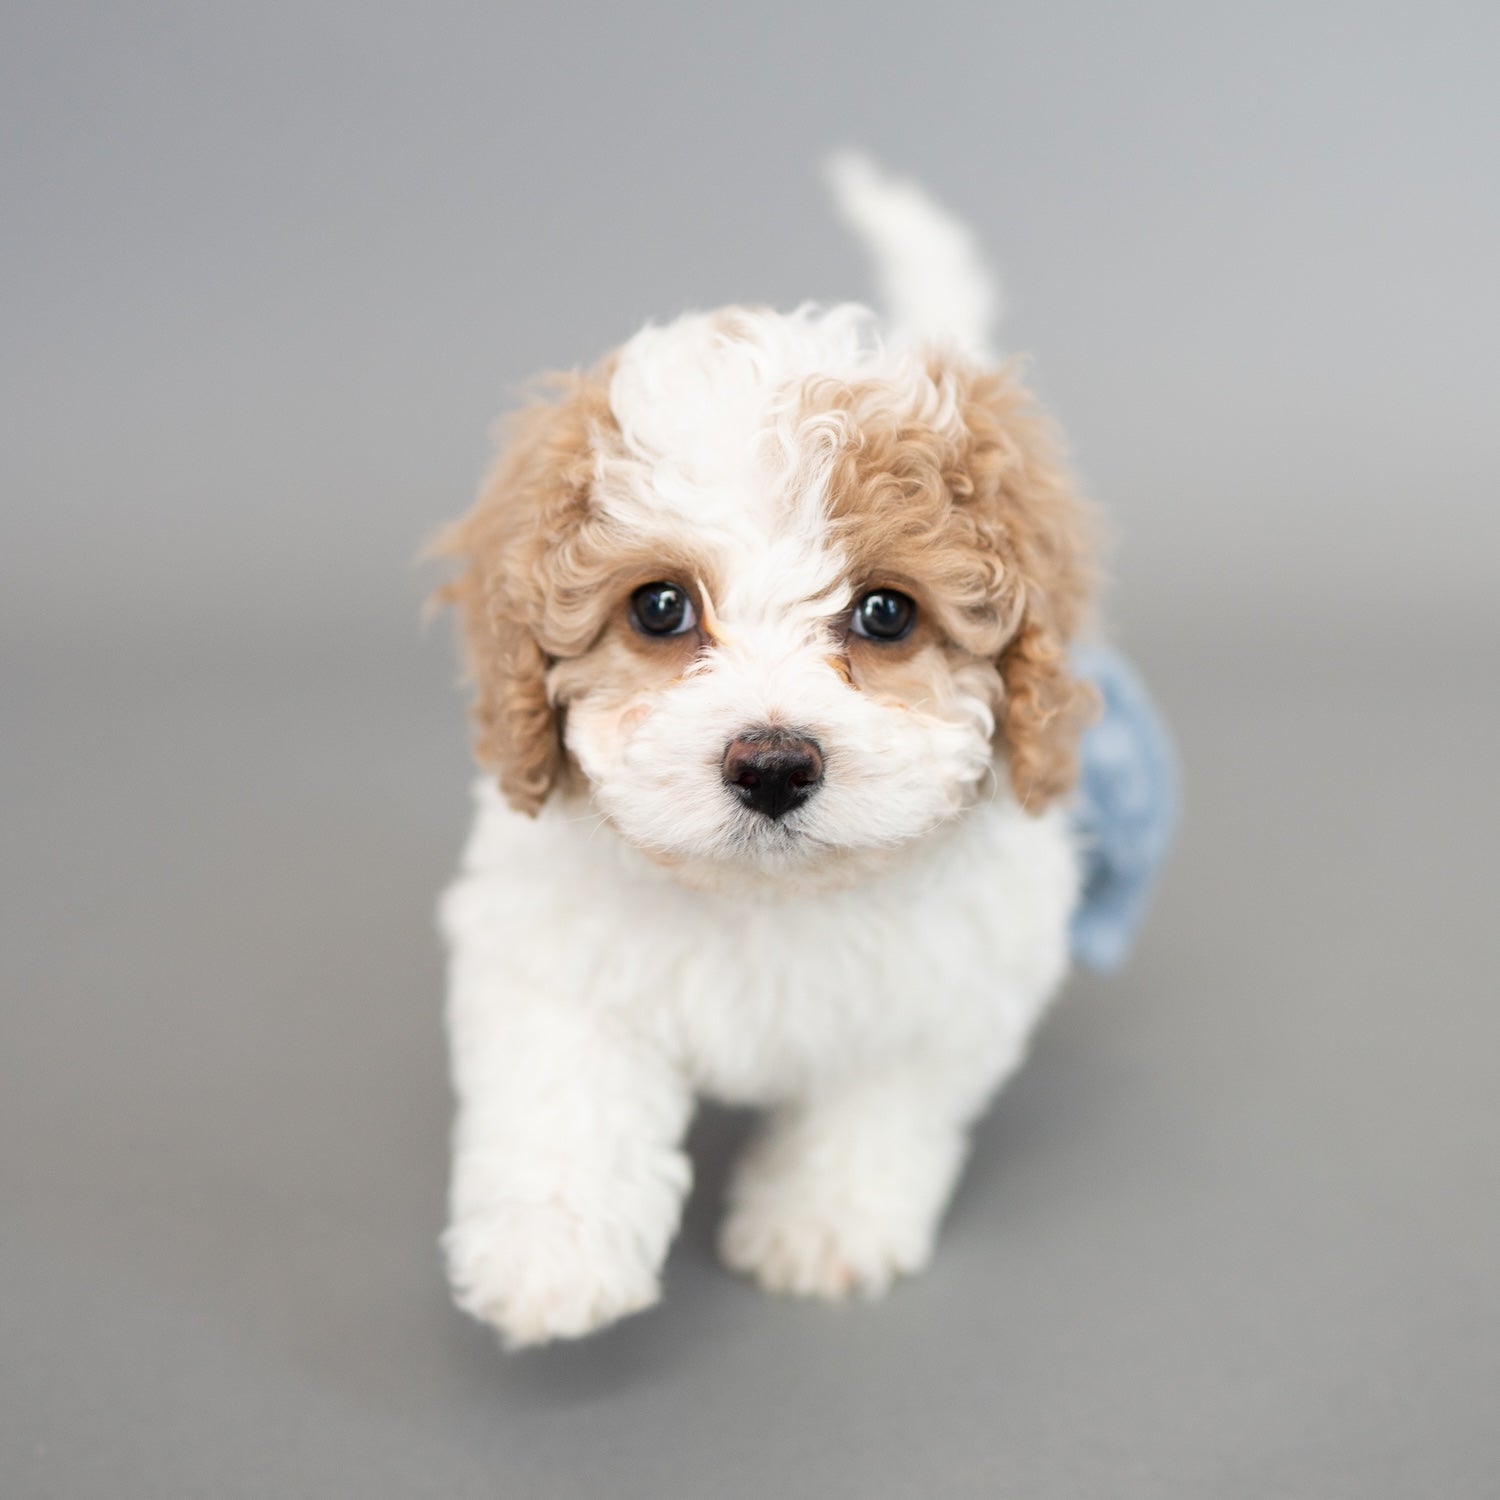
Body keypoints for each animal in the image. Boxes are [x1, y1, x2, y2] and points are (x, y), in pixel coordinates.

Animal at [435, 155, 1104, 1350]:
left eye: (886, 613)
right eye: (659, 607)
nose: (774, 765)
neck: (762, 900)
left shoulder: (952, 989)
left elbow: (876, 1106)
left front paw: (820, 1225)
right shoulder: (541, 947)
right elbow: (564, 1084)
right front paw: (550, 1253)